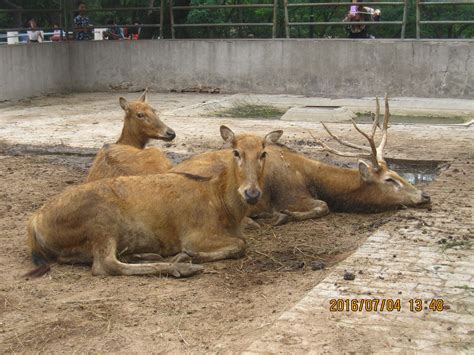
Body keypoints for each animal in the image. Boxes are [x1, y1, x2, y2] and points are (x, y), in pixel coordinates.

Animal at [25, 126, 282, 278]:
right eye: (236, 152)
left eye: (263, 153)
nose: (252, 193)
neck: (225, 208)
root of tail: (33, 223)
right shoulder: (195, 234)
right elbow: (241, 244)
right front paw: (188, 256)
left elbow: (241, 242)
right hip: (102, 222)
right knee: (104, 265)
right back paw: (180, 267)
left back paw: (146, 255)